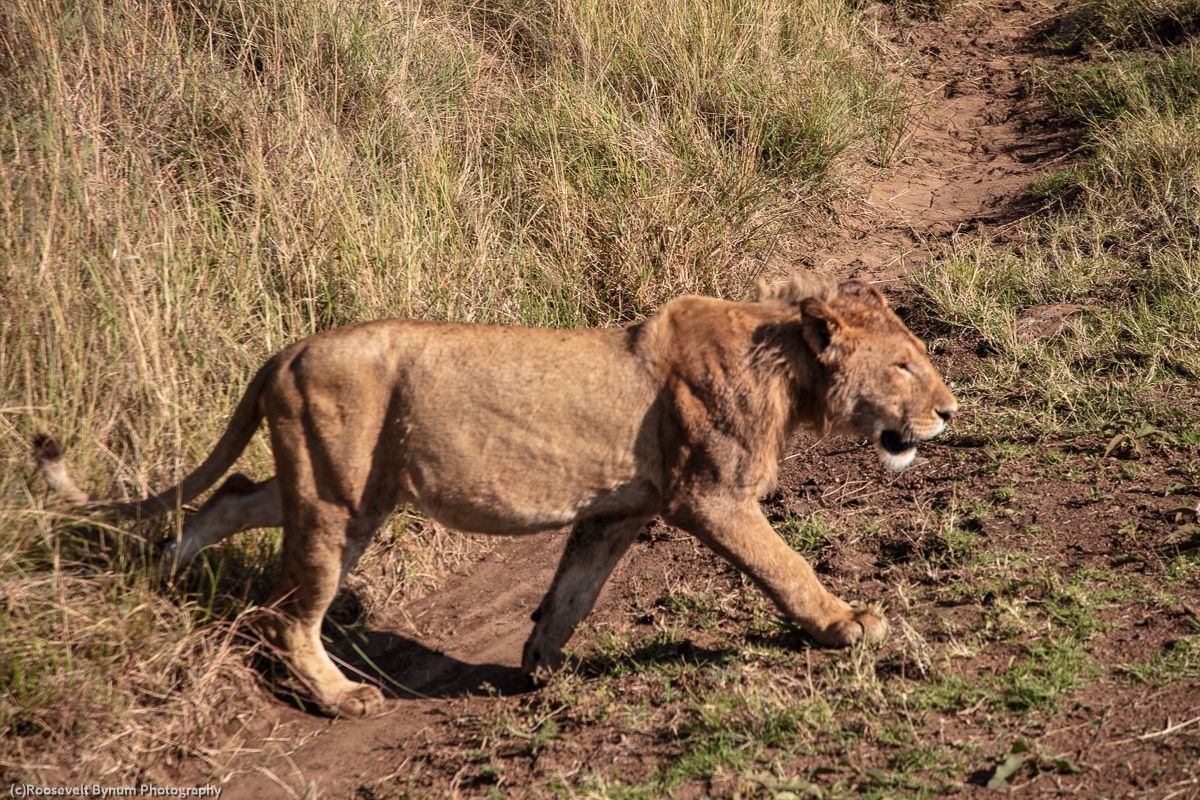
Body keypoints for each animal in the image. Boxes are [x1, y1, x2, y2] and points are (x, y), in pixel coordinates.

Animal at [34, 273, 957, 718]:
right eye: (905, 365)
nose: (952, 409)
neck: (790, 369)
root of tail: (287, 351)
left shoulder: (619, 511)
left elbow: (573, 593)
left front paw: (541, 666)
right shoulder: (710, 497)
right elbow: (786, 565)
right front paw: (847, 624)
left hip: (336, 487)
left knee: (228, 496)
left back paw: (162, 571)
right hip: (338, 499)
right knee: (288, 612)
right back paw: (337, 697)